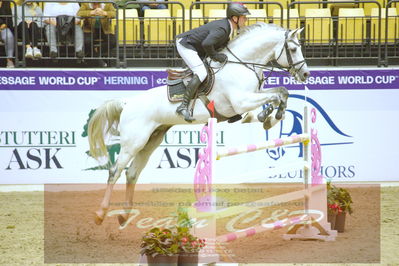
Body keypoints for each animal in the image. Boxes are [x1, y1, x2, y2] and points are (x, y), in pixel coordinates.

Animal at [89, 23, 310, 227]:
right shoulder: (241, 101)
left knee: (132, 173)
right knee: (115, 172)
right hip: (134, 141)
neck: (242, 65)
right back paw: (101, 214)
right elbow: (277, 94)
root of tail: (127, 103)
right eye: (292, 49)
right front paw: (273, 113)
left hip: (151, 140)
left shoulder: (244, 106)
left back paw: (124, 216)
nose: (306, 75)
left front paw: (271, 117)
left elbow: (279, 93)